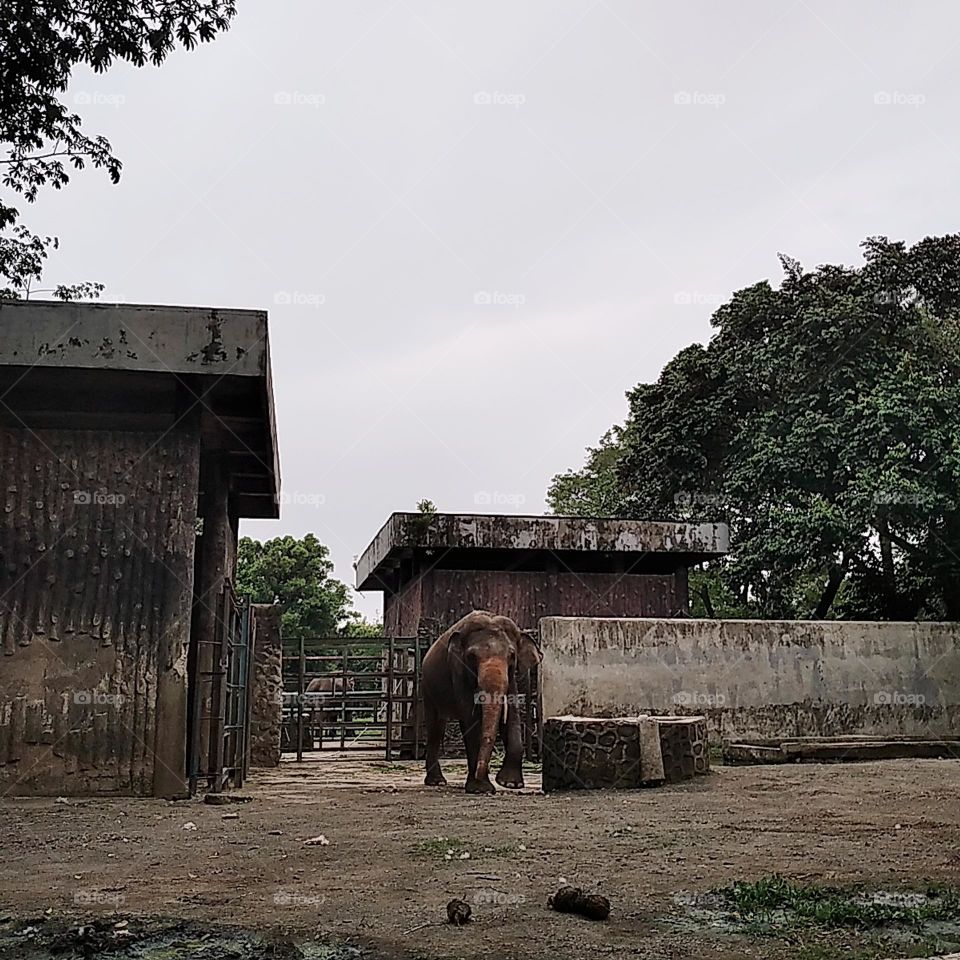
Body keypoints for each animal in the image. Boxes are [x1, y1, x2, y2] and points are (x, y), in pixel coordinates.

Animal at [421, 610, 542, 794]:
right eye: (471, 656)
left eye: (512, 655)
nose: (481, 772)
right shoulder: (458, 671)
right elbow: (471, 718)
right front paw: (481, 789)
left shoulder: (511, 677)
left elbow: (512, 715)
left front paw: (510, 784)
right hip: (428, 690)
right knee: (436, 729)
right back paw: (437, 782)